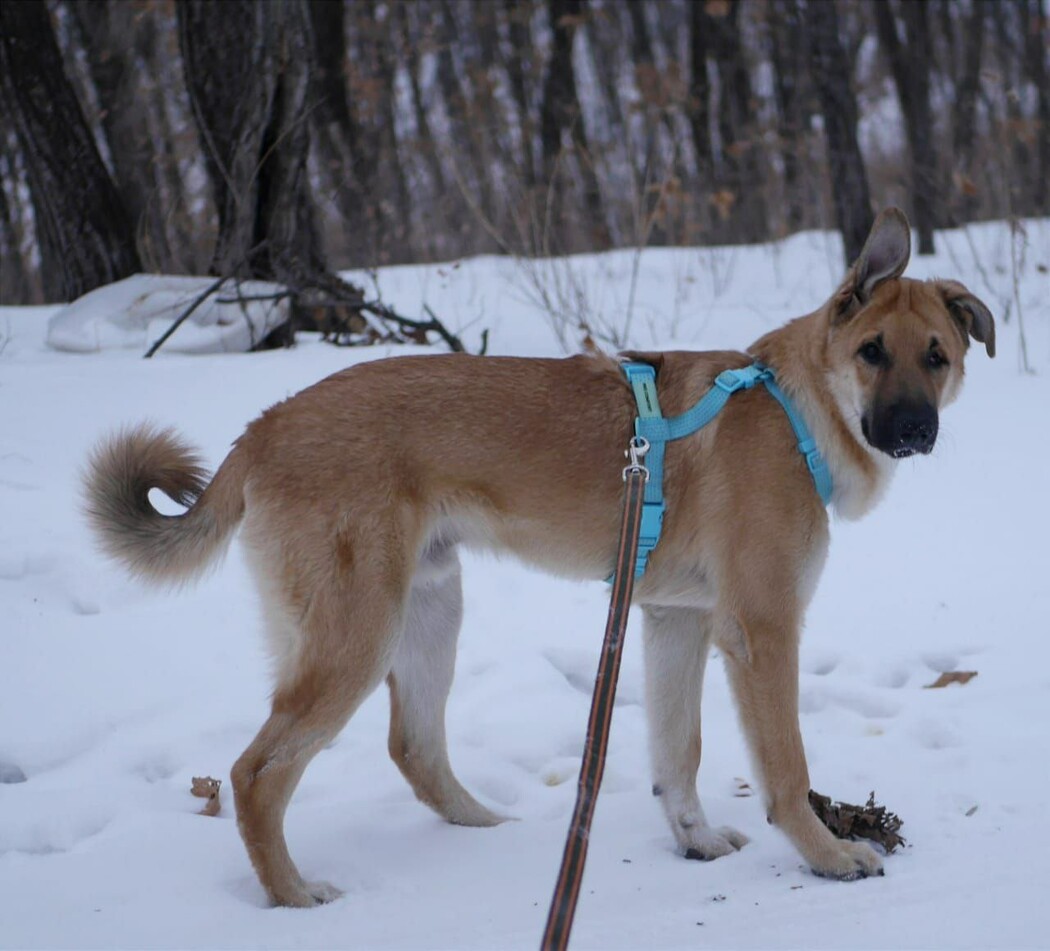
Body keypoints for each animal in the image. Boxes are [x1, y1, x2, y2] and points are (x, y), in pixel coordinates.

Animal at [88, 207, 991, 902]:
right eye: (872, 352)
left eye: (936, 357)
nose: (916, 428)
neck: (797, 409)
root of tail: (264, 426)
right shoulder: (762, 633)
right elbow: (786, 768)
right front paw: (829, 856)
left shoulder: (675, 624)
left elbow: (679, 753)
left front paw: (693, 840)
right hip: (355, 637)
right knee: (256, 773)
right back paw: (293, 895)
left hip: (429, 612)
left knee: (413, 746)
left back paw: (488, 829)